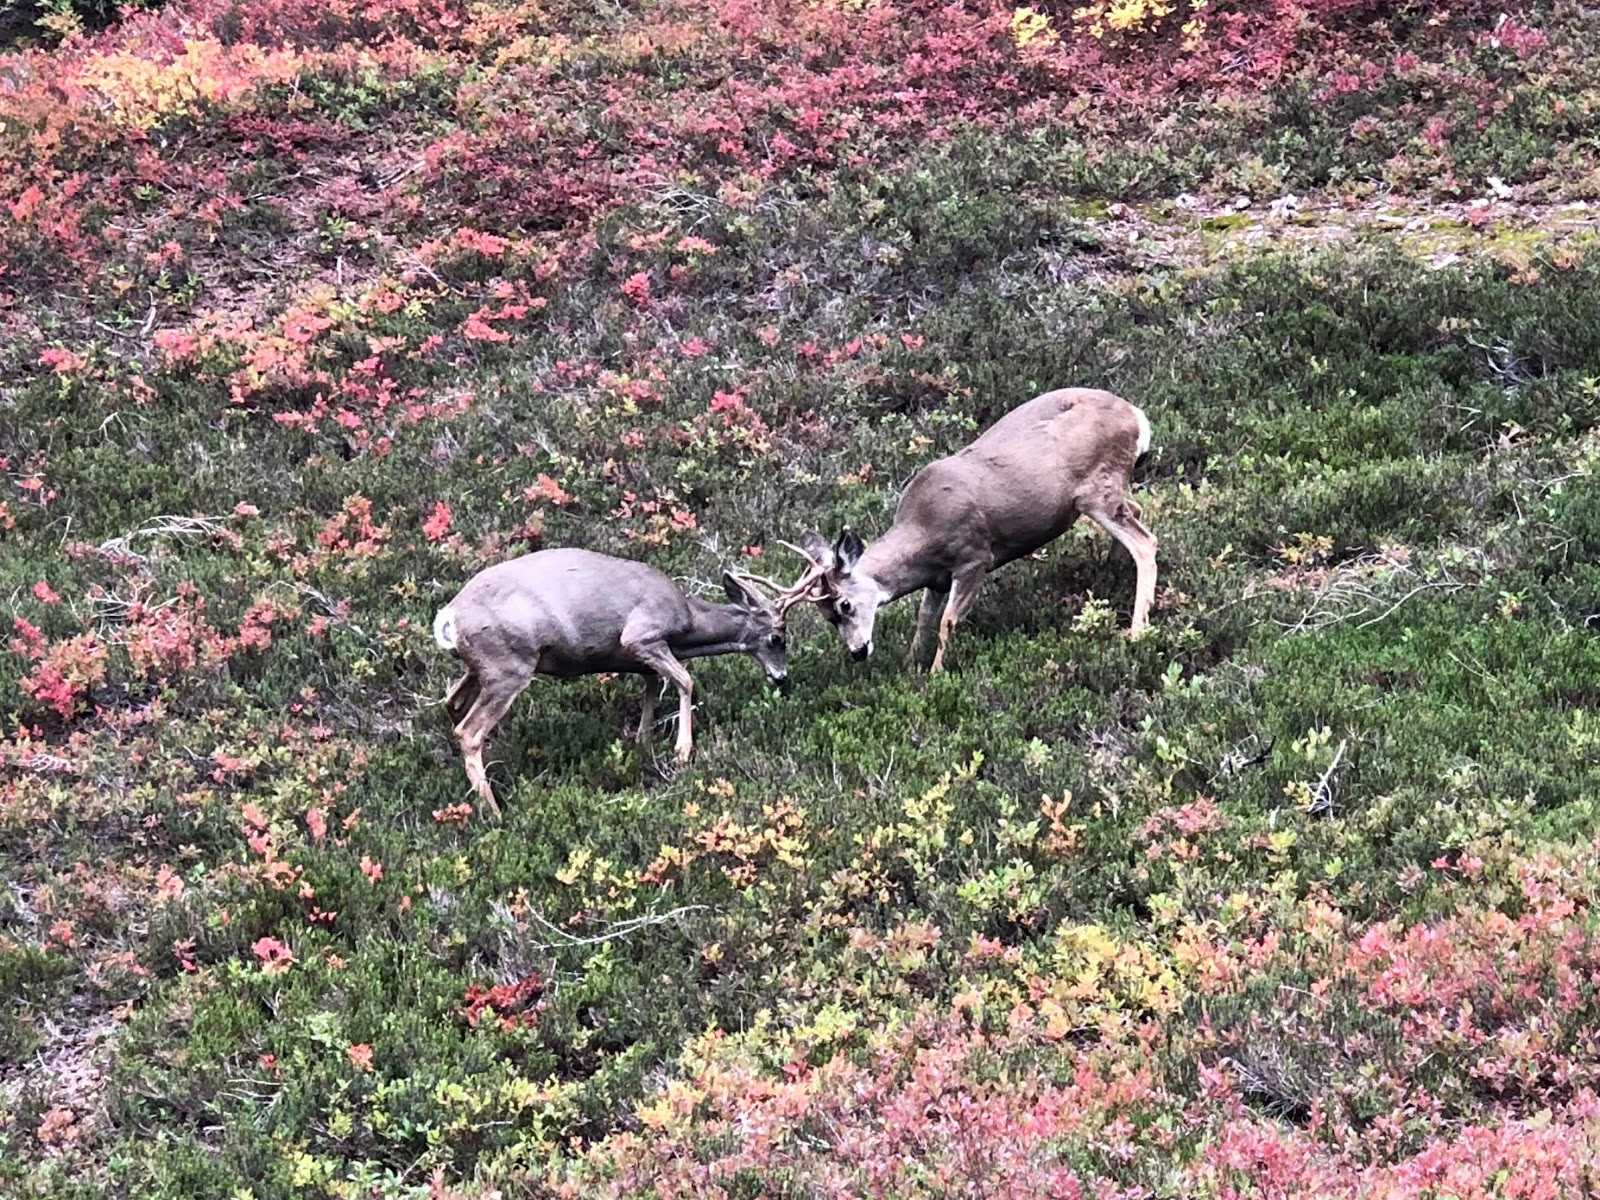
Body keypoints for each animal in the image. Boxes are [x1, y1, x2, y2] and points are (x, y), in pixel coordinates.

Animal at [432, 548, 801, 814]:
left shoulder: (636, 657)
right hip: (509, 666)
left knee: (452, 703)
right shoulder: (641, 635)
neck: (686, 623)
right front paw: (682, 752)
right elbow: (685, 680)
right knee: (469, 731)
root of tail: (448, 617)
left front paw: (642, 744)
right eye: (777, 637)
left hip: (482, 668)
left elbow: (652, 687)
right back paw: (495, 813)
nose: (781, 677)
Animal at [776, 387, 1157, 672]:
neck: (922, 532)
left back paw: (1136, 632)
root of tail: (1137, 416)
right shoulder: (937, 579)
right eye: (826, 616)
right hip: (1104, 493)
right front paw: (912, 665)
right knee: (1136, 513)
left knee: (1146, 542)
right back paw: (1110, 571)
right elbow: (923, 620)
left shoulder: (975, 558)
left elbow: (948, 622)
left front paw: (936, 673)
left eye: (845, 606)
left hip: (1096, 491)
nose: (857, 652)